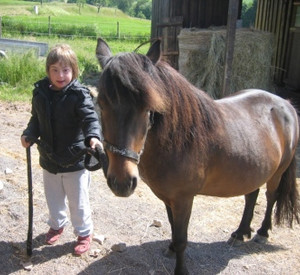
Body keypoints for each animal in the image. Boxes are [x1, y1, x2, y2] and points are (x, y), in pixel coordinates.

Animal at [95, 38, 300, 275]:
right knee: (251, 195)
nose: (121, 182)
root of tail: (286, 104)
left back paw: (262, 232)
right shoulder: (168, 197)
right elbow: (173, 226)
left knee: (271, 196)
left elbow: (182, 238)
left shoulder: (184, 198)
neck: (177, 140)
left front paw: (180, 267)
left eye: (148, 107)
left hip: (278, 172)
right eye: (101, 104)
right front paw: (171, 248)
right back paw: (241, 232)